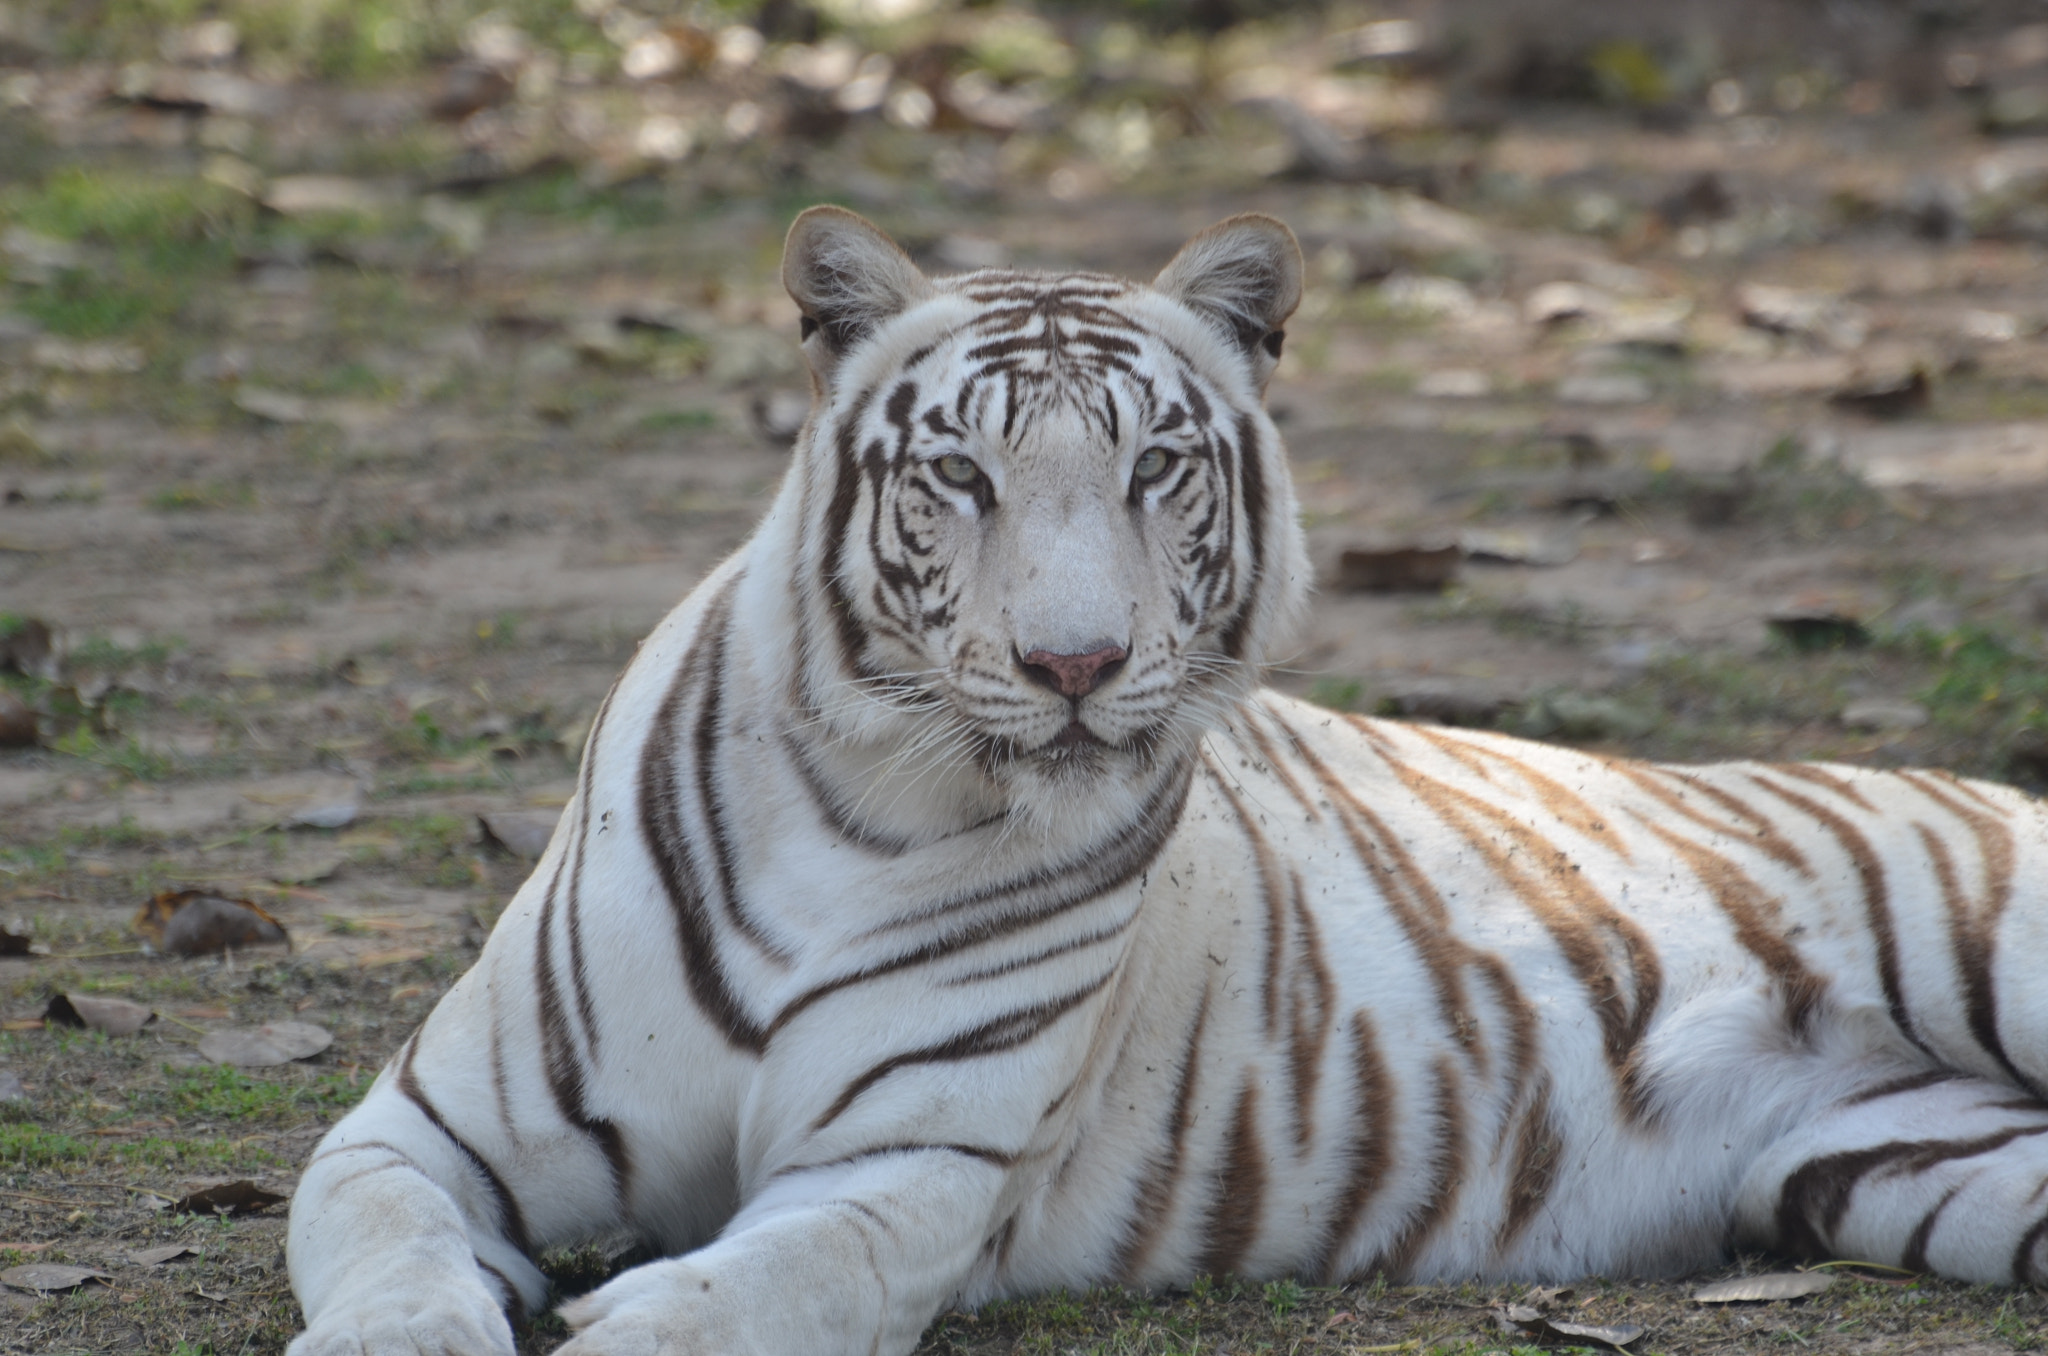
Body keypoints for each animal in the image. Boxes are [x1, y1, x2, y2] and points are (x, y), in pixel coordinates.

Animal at [285, 206, 2048, 1356]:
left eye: (1154, 467)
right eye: (961, 474)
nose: (1074, 664)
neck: (862, 801)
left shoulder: (901, 1176)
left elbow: (735, 1298)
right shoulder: (422, 1129)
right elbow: (383, 1246)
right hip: (1917, 1167)